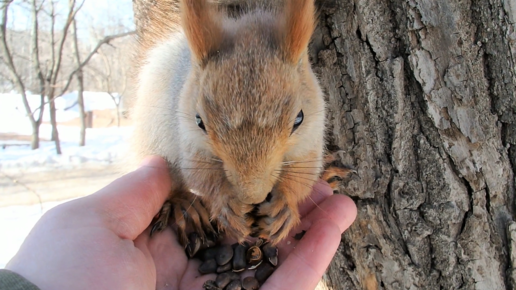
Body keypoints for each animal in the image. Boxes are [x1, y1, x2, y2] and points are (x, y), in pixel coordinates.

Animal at [131, 0, 352, 250]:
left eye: (299, 118)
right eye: (199, 121)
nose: (252, 196)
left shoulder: (311, 136)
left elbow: (303, 174)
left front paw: (284, 206)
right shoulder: (190, 142)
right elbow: (202, 176)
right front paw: (226, 204)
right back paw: (184, 205)